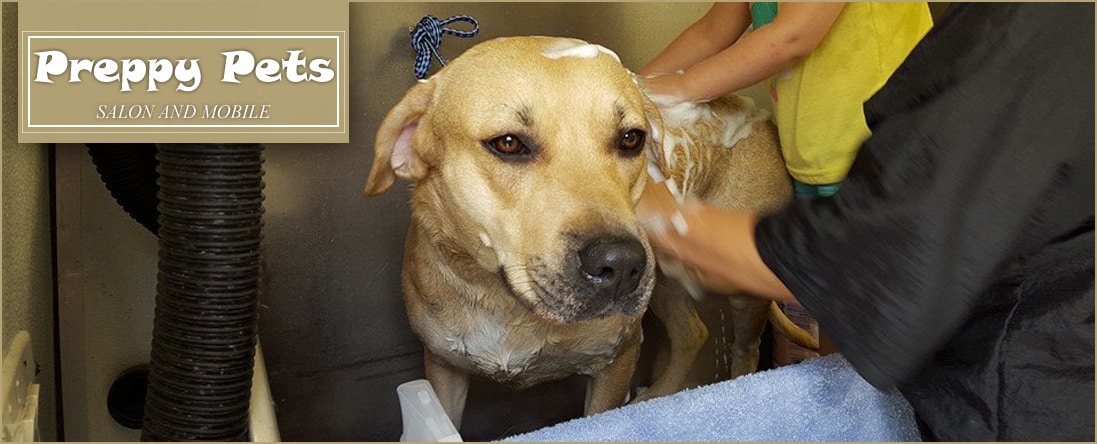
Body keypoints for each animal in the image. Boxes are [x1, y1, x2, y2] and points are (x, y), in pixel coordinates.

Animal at [364, 36, 817, 428]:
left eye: (631, 138)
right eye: (508, 143)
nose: (620, 264)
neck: (506, 302)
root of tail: (757, 116)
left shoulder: (616, 362)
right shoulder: (443, 369)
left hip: (736, 287)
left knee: (745, 348)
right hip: (664, 279)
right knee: (693, 332)